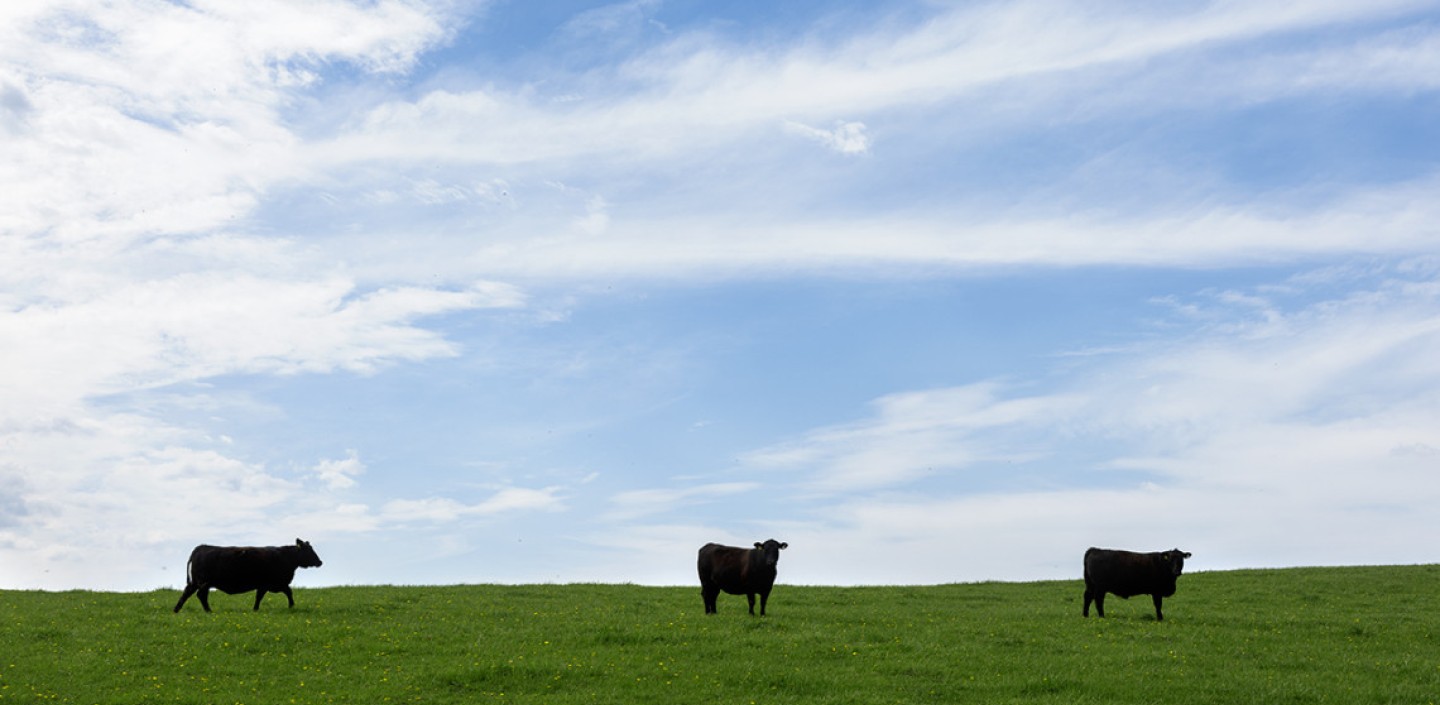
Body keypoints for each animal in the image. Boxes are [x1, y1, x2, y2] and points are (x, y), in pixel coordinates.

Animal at [173, 539, 323, 613]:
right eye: (309, 550)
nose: (320, 562)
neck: (285, 557)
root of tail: (201, 547)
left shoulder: (269, 585)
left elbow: (263, 596)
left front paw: (255, 609)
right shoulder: (271, 583)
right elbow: (287, 592)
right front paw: (291, 606)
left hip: (196, 582)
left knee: (187, 593)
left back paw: (176, 610)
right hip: (204, 582)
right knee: (201, 595)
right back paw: (208, 611)